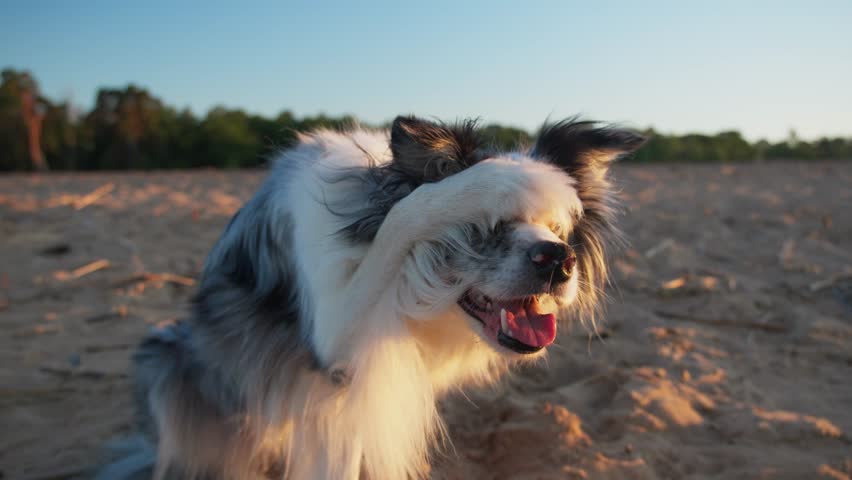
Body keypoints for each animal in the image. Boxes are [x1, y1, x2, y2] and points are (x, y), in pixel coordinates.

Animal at [96, 116, 644, 480]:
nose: (559, 260)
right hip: (163, 360)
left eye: (560, 231)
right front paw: (490, 180)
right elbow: (411, 209)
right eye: (486, 227)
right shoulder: (334, 340)